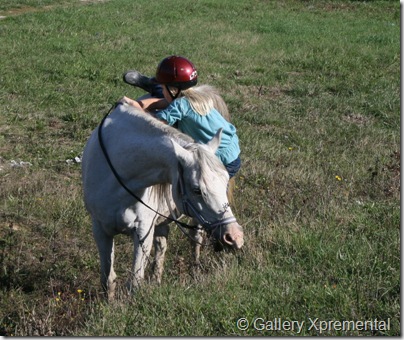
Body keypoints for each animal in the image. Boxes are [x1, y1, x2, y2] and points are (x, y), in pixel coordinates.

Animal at [80, 102, 241, 298]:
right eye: (196, 189)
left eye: (225, 181)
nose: (235, 236)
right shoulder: (100, 229)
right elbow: (108, 279)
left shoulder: (143, 230)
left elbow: (134, 282)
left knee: (195, 239)